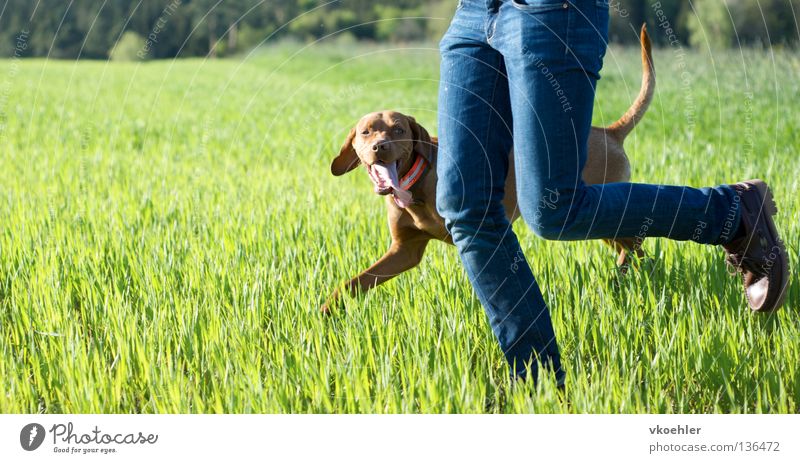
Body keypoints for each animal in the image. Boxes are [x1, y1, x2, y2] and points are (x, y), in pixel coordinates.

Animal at [324, 24, 656, 312]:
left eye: (398, 130)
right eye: (366, 132)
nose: (379, 147)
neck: (415, 186)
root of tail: (610, 132)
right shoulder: (404, 250)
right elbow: (353, 284)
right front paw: (327, 312)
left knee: (638, 245)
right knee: (632, 248)